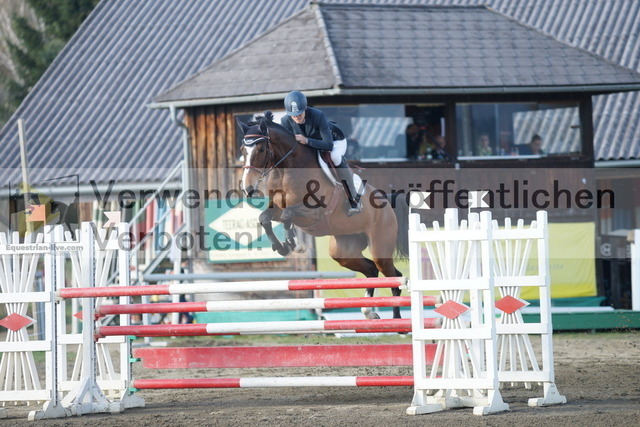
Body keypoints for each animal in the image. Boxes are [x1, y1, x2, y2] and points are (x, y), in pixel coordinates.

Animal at [236, 112, 410, 320]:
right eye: (242, 150)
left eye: (261, 149)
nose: (248, 189)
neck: (287, 169)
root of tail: (387, 201)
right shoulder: (277, 208)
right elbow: (265, 218)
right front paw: (283, 247)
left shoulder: (314, 213)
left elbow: (288, 215)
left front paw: (294, 244)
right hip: (344, 251)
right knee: (371, 269)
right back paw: (369, 312)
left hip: (380, 246)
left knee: (394, 277)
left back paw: (396, 320)